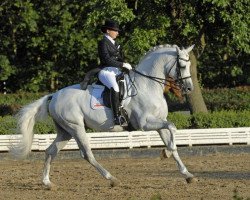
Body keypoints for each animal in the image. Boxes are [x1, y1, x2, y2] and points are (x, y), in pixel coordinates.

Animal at [10, 43, 197, 188]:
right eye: (182, 66)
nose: (189, 89)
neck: (147, 85)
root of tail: (54, 96)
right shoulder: (145, 124)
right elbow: (173, 128)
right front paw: (166, 153)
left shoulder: (160, 122)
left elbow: (172, 137)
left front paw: (186, 174)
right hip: (76, 128)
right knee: (87, 154)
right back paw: (112, 179)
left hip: (65, 132)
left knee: (50, 151)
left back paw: (47, 183)